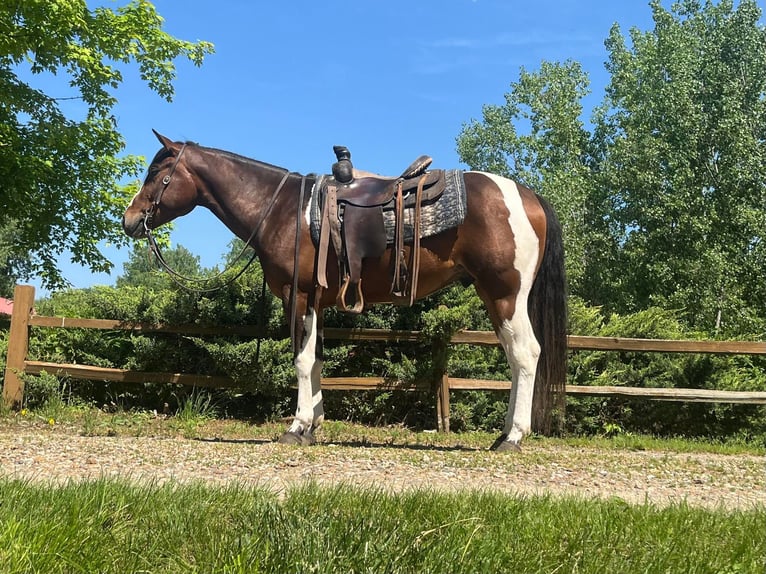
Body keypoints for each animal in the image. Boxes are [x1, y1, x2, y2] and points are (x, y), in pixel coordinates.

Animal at [123, 130, 568, 454]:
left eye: (156, 174)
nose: (129, 220)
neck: (281, 209)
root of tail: (528, 197)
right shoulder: (316, 302)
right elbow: (317, 359)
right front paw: (313, 426)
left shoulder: (299, 296)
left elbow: (302, 361)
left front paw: (296, 427)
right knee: (515, 356)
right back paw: (504, 434)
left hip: (505, 293)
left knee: (525, 354)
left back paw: (513, 437)